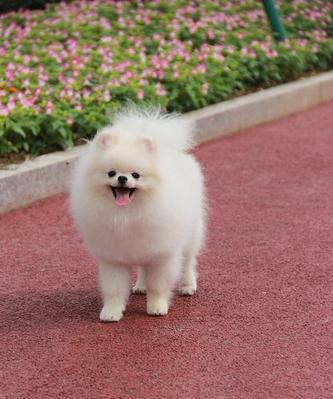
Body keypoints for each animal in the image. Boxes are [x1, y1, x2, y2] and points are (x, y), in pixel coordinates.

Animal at [69, 106, 205, 322]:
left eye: (136, 175)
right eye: (111, 173)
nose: (122, 178)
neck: (126, 215)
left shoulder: (161, 254)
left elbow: (158, 285)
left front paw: (157, 307)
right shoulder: (113, 258)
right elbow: (114, 289)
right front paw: (111, 312)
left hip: (191, 234)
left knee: (188, 261)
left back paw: (187, 285)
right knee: (142, 267)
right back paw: (141, 286)